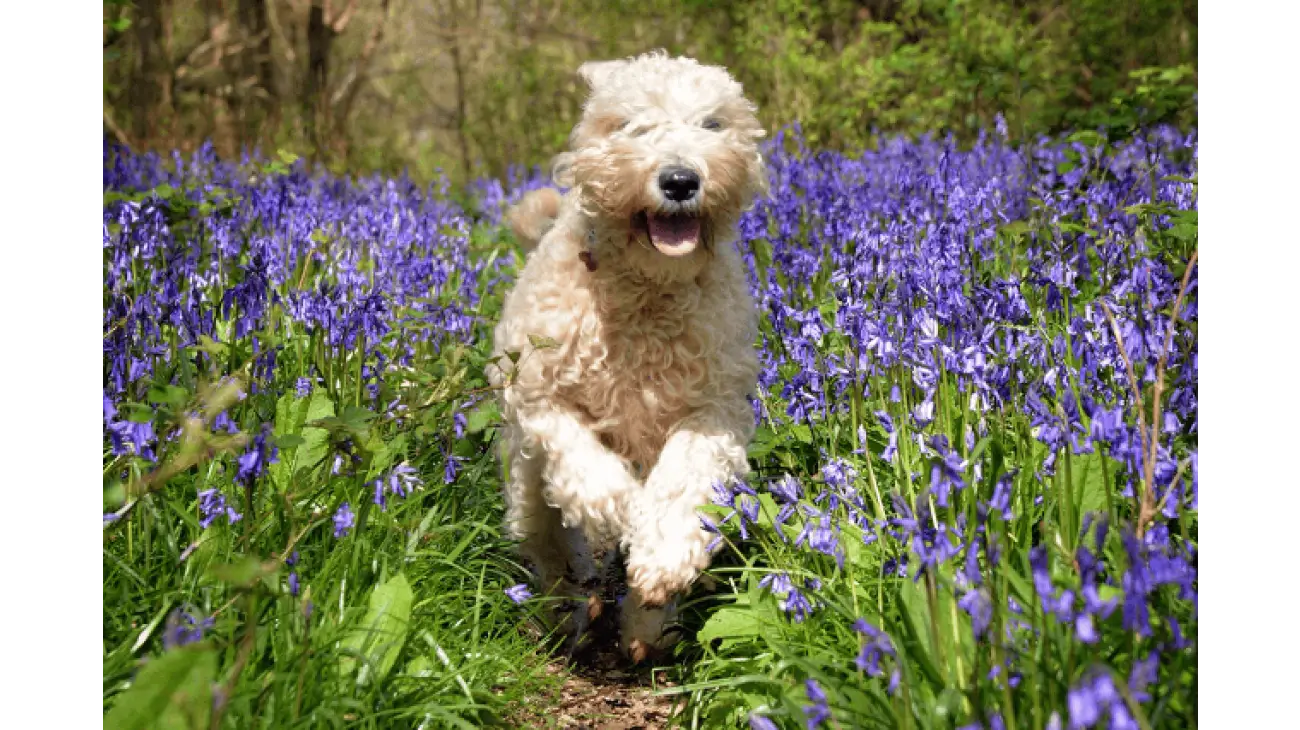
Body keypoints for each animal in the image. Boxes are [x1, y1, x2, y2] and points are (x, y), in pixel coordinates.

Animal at [491, 52, 764, 659]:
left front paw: (661, 560)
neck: (646, 296)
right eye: (631, 124)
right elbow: (588, 469)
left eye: (712, 123)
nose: (681, 180)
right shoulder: (540, 397)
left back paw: (645, 629)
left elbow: (683, 485)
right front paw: (624, 512)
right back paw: (568, 613)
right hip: (527, 491)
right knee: (552, 550)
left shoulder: (711, 413)